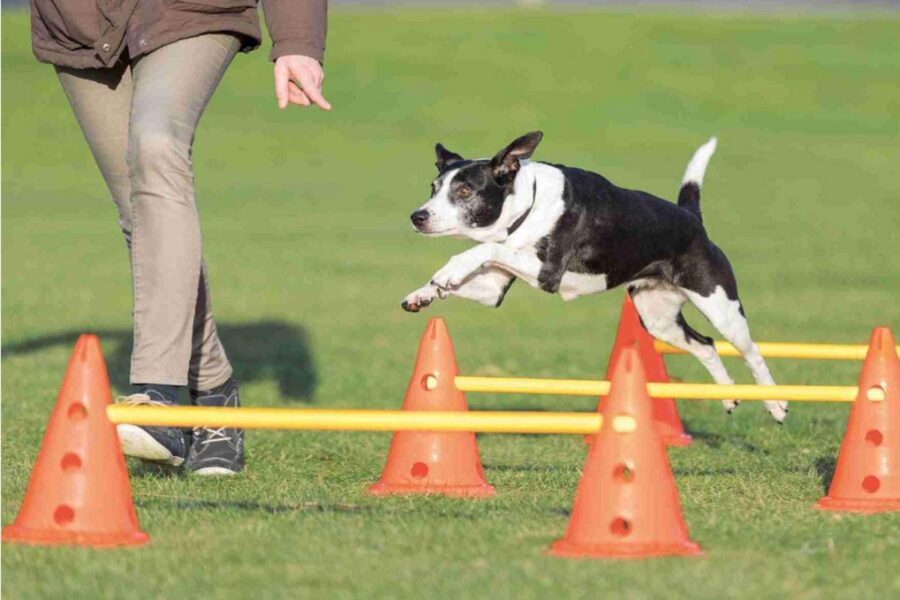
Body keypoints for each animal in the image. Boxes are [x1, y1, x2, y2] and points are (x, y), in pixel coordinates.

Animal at [400, 132, 788, 422]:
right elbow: (480, 263)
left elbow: (483, 250)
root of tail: (692, 219)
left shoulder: (546, 272)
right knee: (705, 344)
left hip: (720, 305)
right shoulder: (494, 287)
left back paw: (777, 404)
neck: (528, 202)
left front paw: (449, 270)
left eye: (464, 191)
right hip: (658, 318)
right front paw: (424, 293)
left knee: (750, 351)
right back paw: (728, 397)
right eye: (433, 187)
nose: (417, 216)